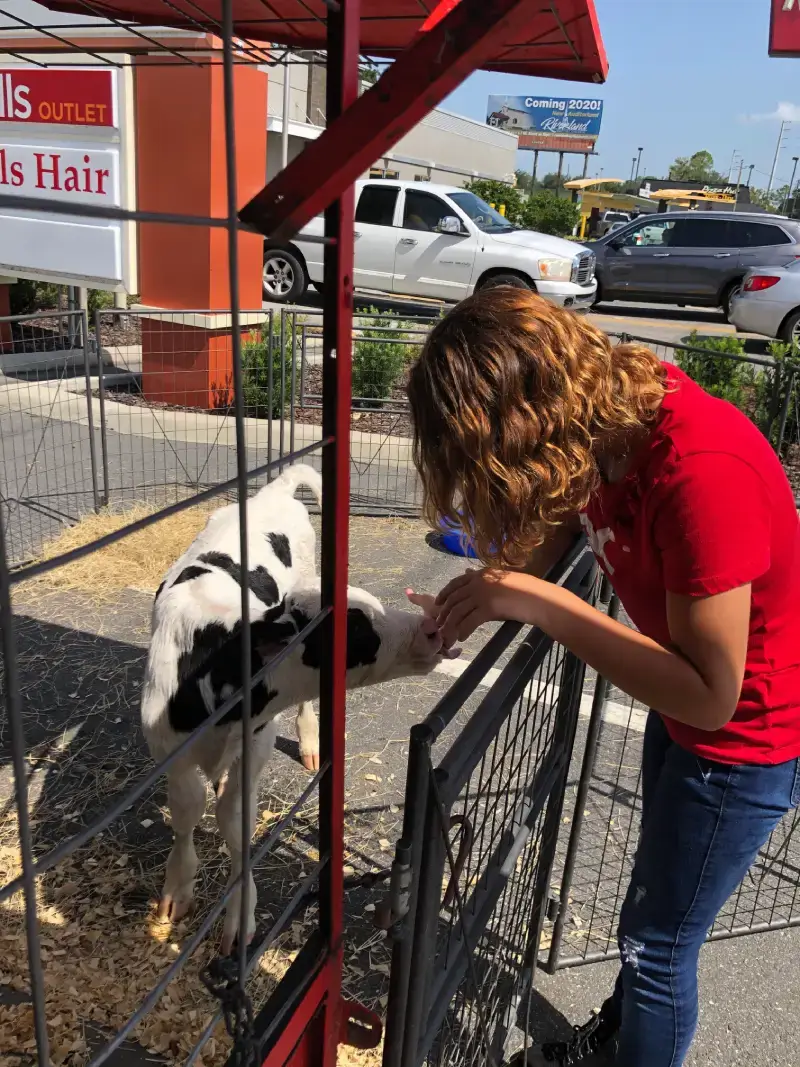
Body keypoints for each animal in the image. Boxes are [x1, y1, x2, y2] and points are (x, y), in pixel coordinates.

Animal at [140, 465, 460, 951]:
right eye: (357, 634)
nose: (429, 630)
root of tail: (274, 489)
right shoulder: (167, 750)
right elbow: (188, 810)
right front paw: (177, 890)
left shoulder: (257, 741)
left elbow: (235, 820)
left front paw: (239, 917)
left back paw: (310, 742)